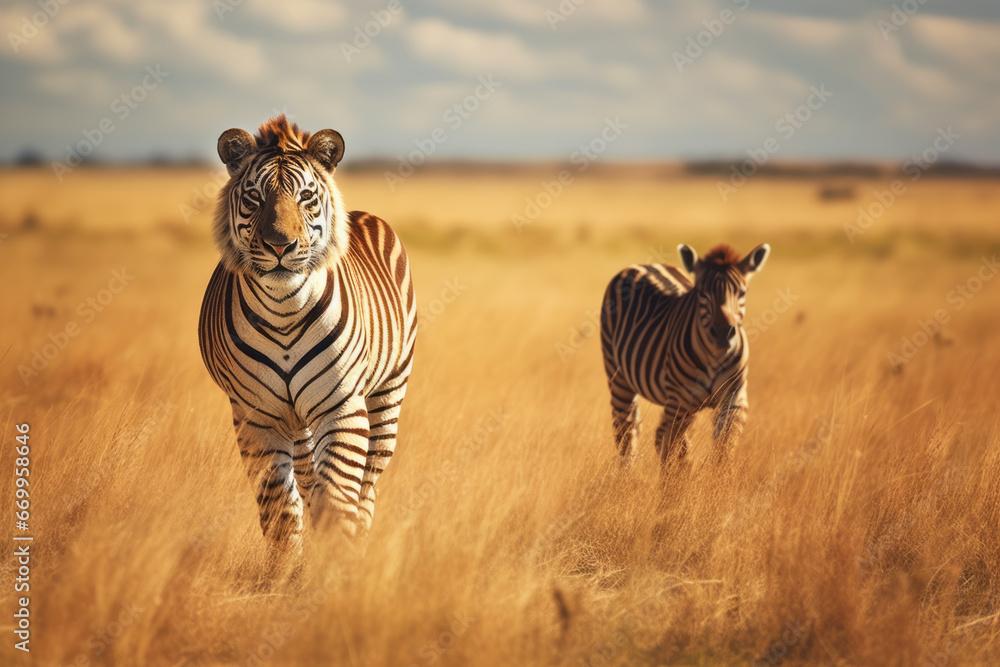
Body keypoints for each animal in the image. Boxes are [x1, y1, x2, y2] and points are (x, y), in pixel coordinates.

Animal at [198, 115, 417, 556]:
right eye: (254, 197)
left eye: (305, 196)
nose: (281, 246)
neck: (284, 310)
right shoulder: (256, 418)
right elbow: (280, 512)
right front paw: (287, 570)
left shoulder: (342, 406)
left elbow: (338, 502)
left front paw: (338, 565)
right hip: (295, 420)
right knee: (306, 478)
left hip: (389, 391)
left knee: (367, 484)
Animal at [599, 243, 770, 470]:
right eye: (702, 294)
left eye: (742, 293)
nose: (723, 334)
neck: (715, 358)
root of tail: (642, 265)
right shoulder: (680, 402)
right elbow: (671, 457)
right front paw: (673, 480)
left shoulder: (734, 400)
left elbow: (722, 455)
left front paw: (718, 480)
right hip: (619, 378)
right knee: (627, 433)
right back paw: (626, 476)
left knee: (660, 436)